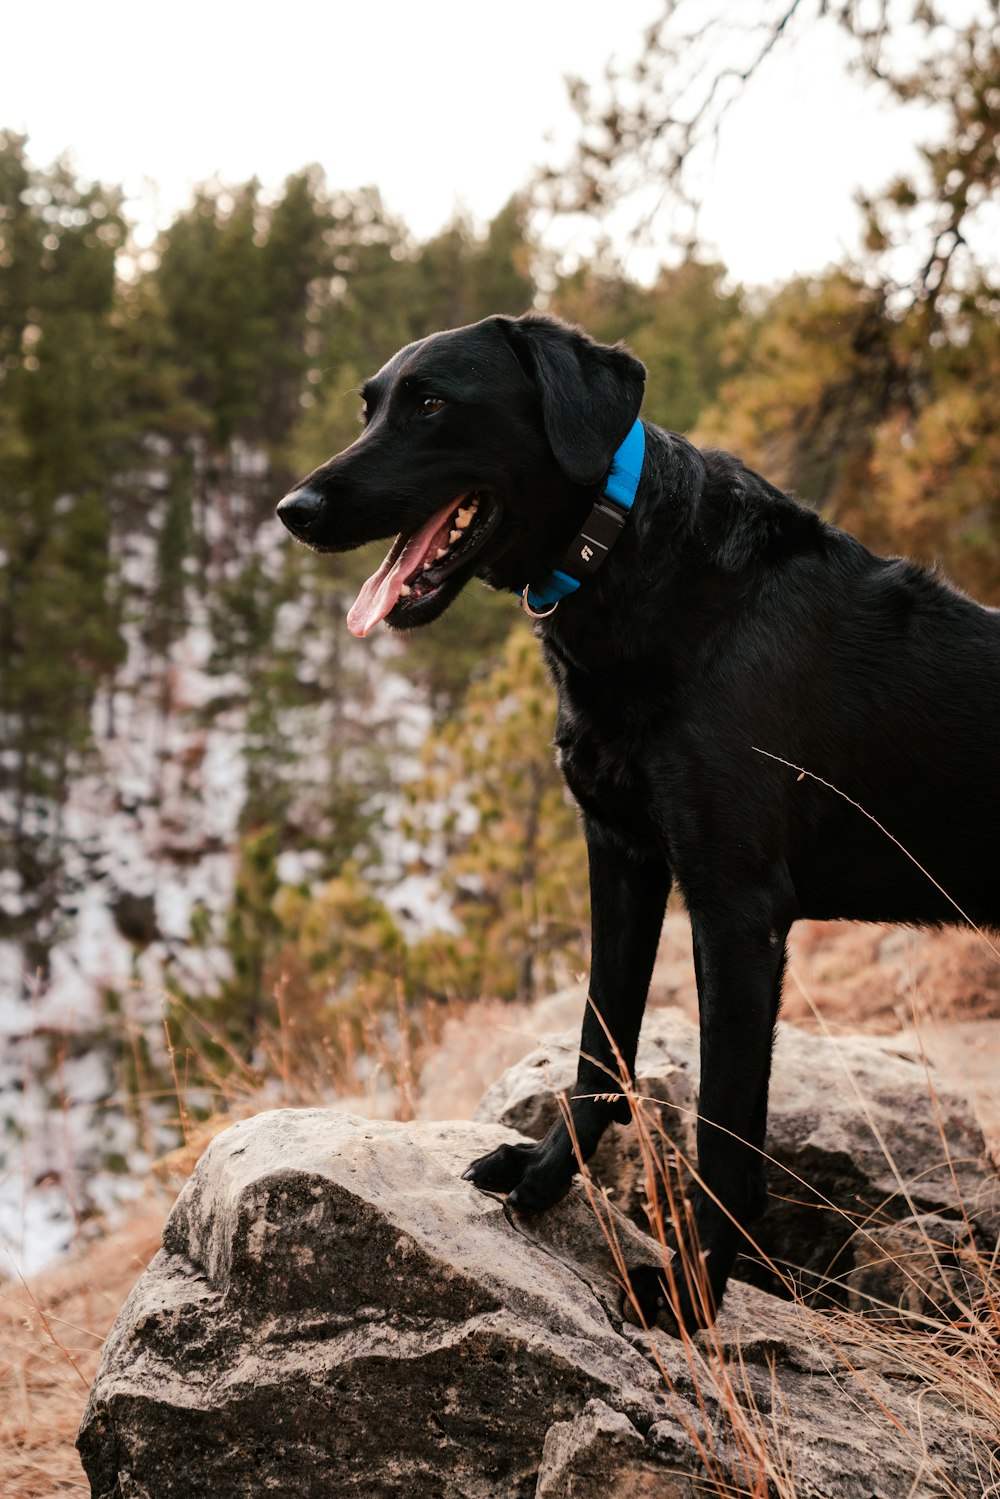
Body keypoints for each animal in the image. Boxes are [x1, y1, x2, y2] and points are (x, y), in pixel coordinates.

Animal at [275, 310, 1000, 1331]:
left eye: (432, 403)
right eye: (370, 406)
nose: (292, 508)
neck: (626, 560)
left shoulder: (737, 909)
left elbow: (726, 1132)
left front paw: (690, 1298)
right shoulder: (620, 858)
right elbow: (598, 1046)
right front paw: (545, 1177)